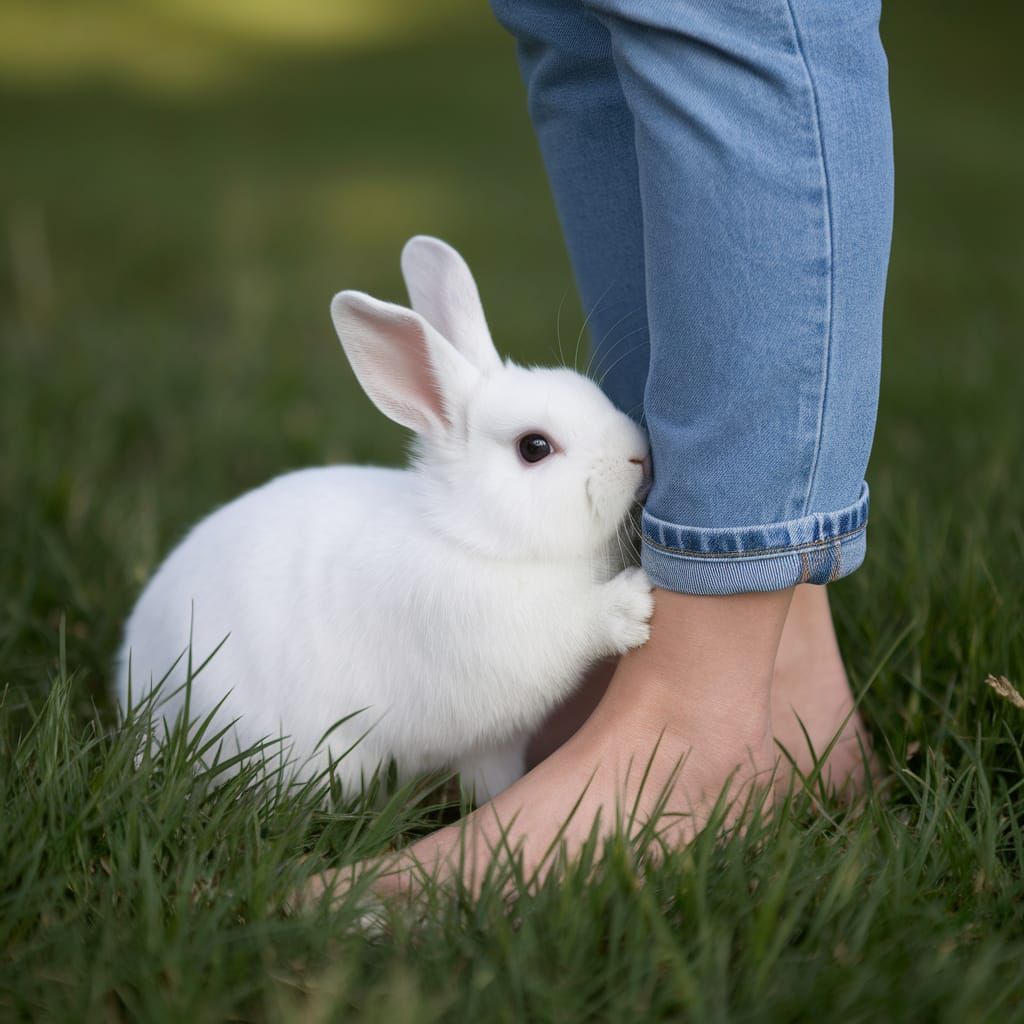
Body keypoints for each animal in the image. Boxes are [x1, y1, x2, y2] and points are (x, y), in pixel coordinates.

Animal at [115, 236, 653, 801]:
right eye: (534, 447)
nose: (639, 456)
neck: (475, 537)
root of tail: (135, 684)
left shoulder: (493, 744)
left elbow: (494, 777)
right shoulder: (508, 638)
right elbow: (574, 627)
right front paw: (631, 607)